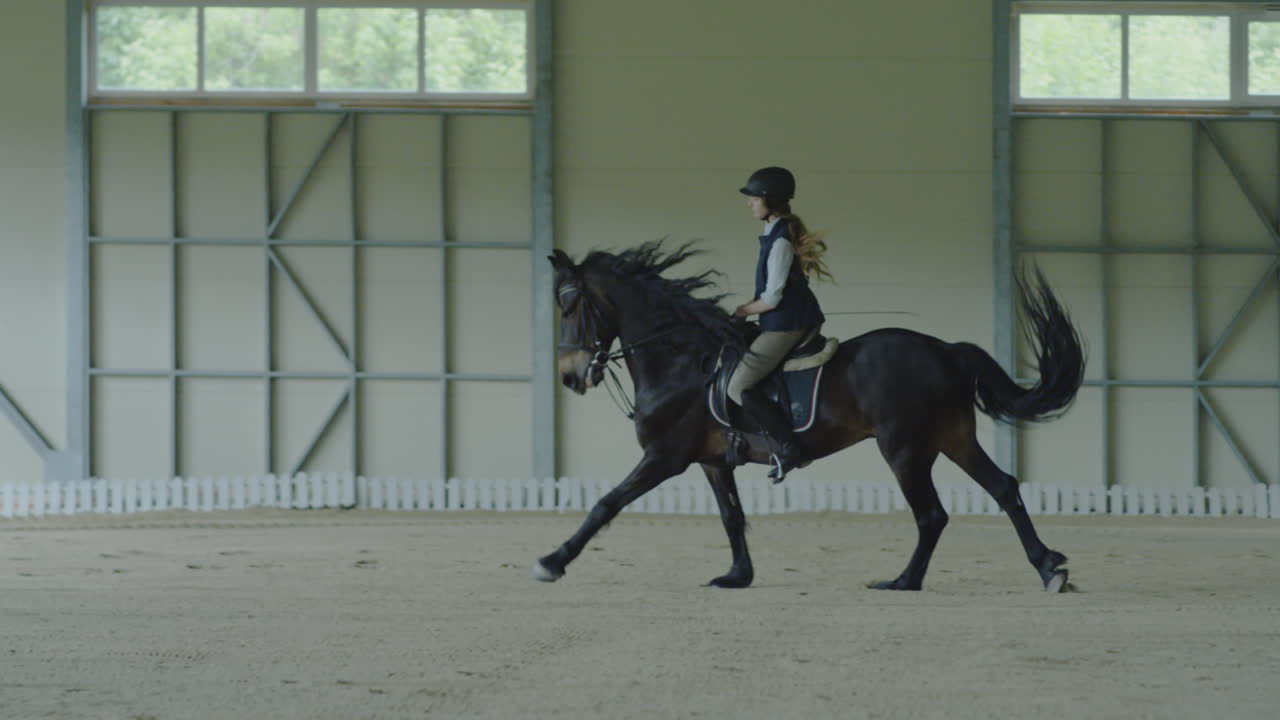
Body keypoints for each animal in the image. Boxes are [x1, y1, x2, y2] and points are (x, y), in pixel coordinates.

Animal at [537, 242, 1086, 592]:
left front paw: (552, 561)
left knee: (932, 514)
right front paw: (737, 576)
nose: (569, 376)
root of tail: (947, 350)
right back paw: (1048, 567)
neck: (679, 360)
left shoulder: (665, 456)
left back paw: (903, 581)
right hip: (953, 437)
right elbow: (732, 517)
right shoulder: (711, 461)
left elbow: (605, 504)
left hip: (905, 448)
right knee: (1004, 488)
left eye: (570, 305)